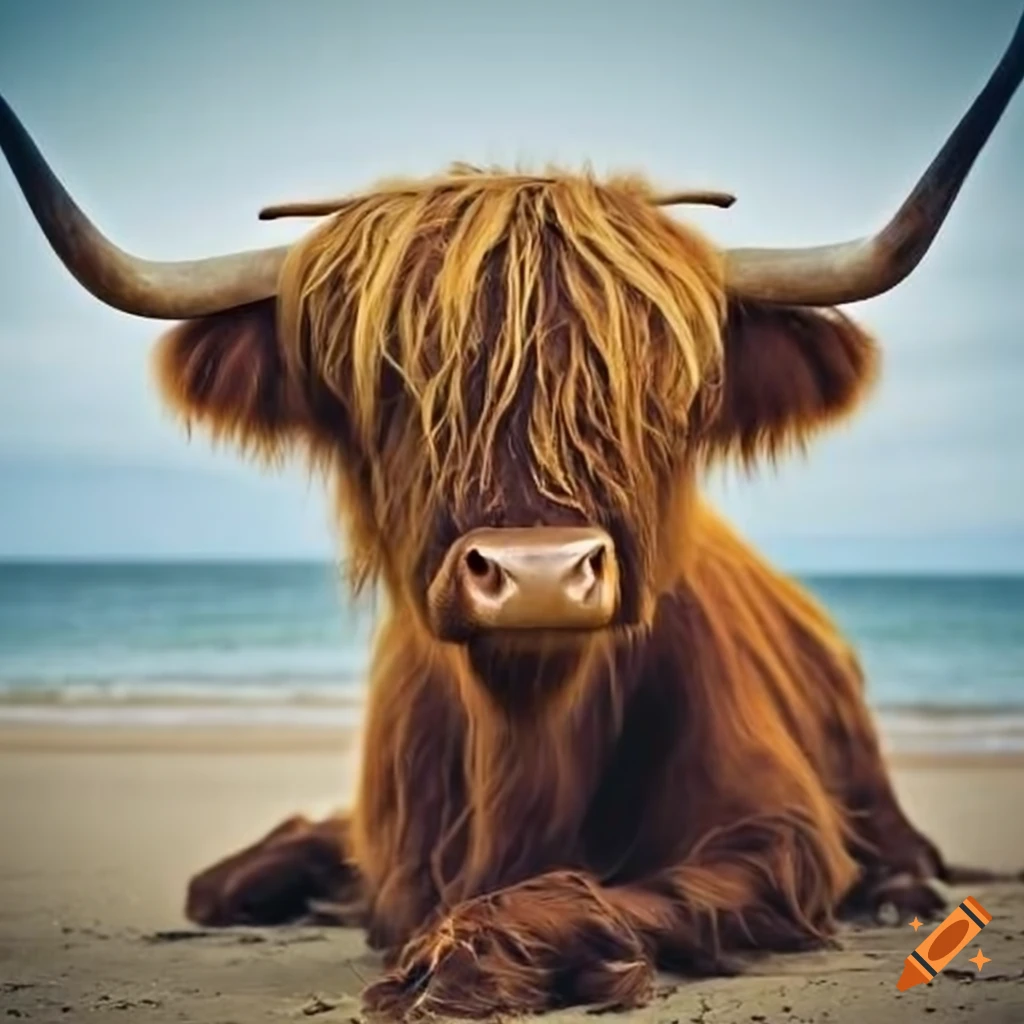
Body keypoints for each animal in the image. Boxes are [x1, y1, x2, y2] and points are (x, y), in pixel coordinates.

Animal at [1, 10, 1021, 1019]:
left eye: (659, 387)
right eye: (392, 384)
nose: (538, 577)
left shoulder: (779, 833)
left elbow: (644, 890)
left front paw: (467, 960)